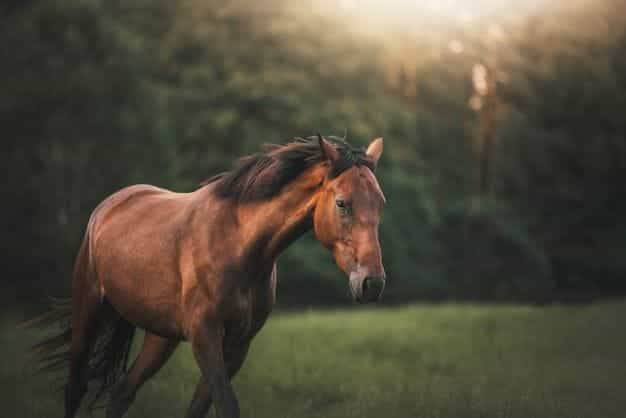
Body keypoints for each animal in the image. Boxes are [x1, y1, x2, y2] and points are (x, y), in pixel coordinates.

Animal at [35, 135, 386, 418]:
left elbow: (200, 407)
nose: (372, 283)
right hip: (89, 310)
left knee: (122, 393)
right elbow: (226, 404)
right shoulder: (206, 337)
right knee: (75, 387)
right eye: (342, 203)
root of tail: (110, 205)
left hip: (161, 337)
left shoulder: (238, 344)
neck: (238, 245)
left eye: (380, 203)